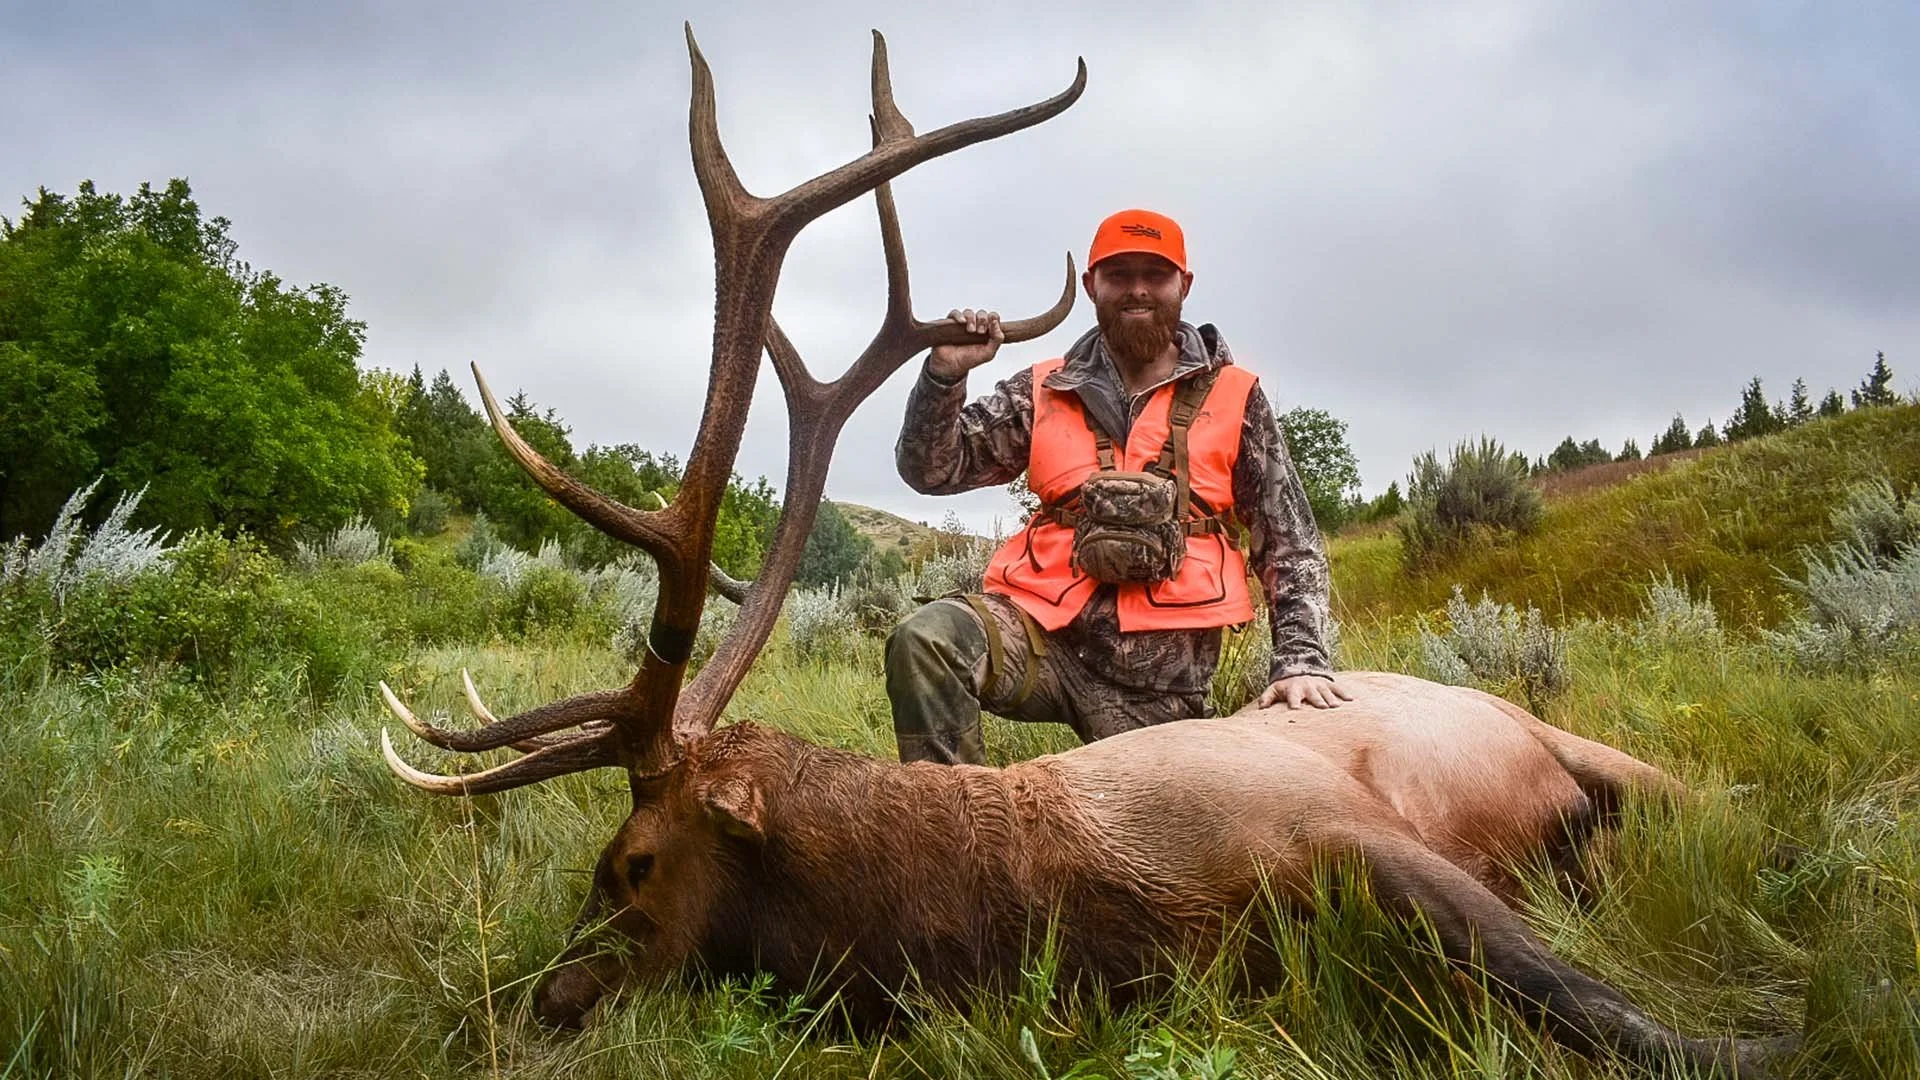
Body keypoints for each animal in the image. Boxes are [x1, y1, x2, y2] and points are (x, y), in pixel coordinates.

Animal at [378, 27, 1795, 1077]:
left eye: (632, 862)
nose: (537, 1000)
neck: (1043, 910)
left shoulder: (1354, 831)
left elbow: (1603, 1006)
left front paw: (1763, 1035)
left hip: (1591, 748)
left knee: (1713, 804)